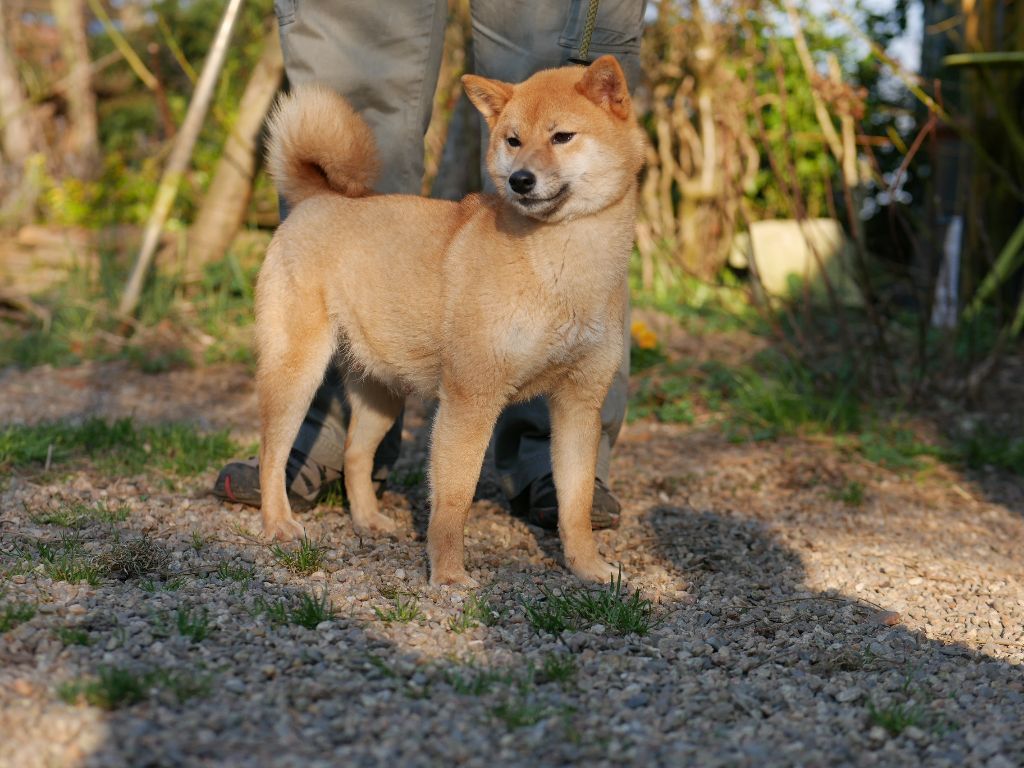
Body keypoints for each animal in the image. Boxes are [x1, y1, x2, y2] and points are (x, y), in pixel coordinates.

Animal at [252, 57, 643, 585]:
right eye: (513, 140)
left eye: (562, 136)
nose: (520, 180)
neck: (564, 264)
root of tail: (318, 196)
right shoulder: (470, 400)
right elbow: (454, 500)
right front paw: (450, 576)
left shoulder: (578, 404)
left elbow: (576, 502)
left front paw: (588, 566)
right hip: (297, 372)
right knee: (272, 453)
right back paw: (278, 522)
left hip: (382, 389)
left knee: (356, 454)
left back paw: (368, 519)